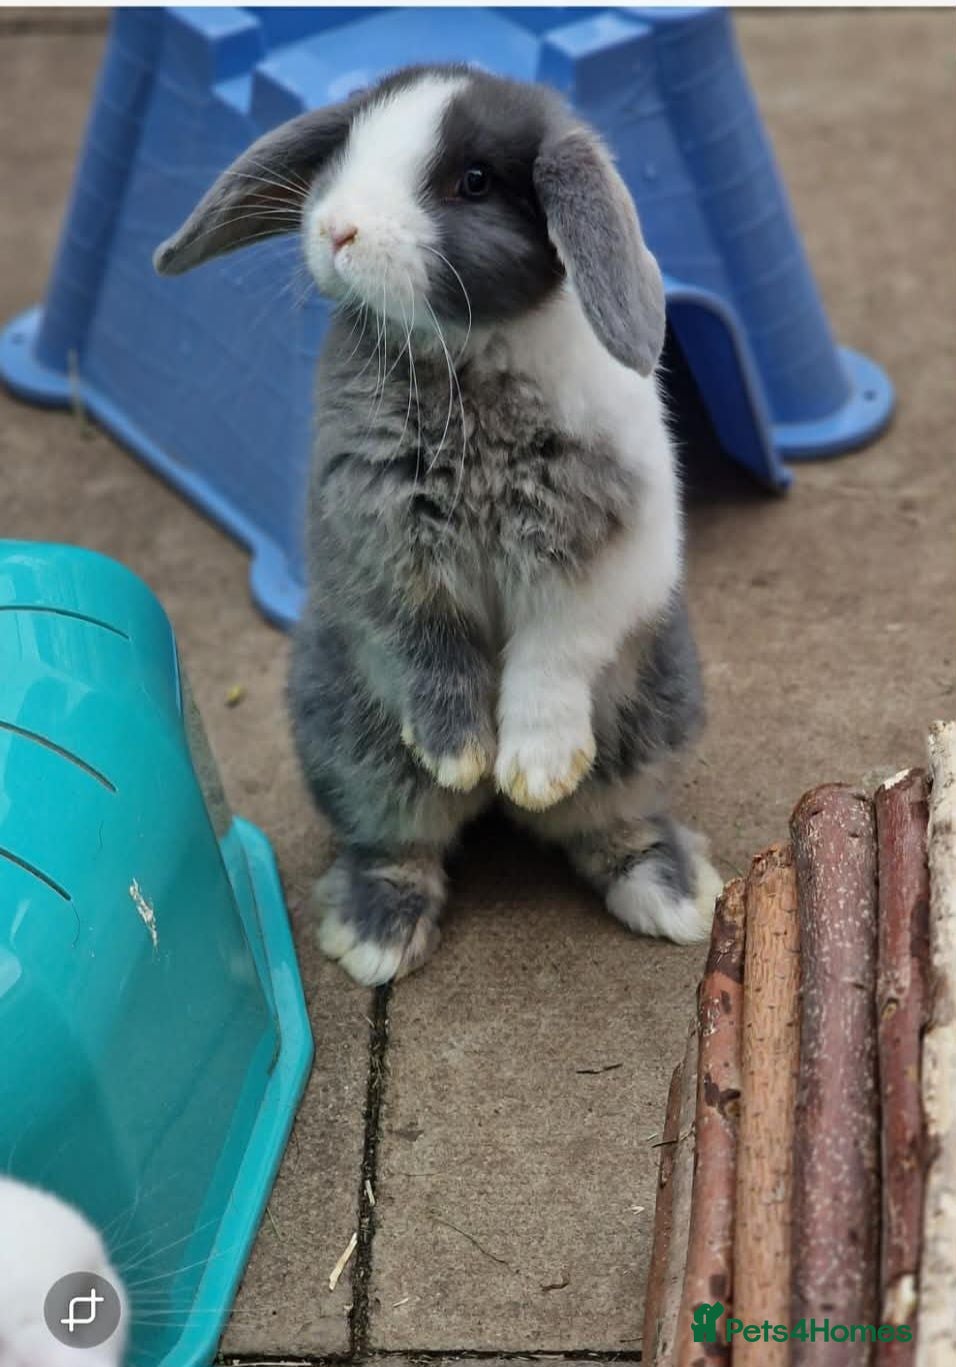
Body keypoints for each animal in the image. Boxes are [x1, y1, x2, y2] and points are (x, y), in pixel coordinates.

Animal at [155, 64, 723, 986]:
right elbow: (426, 650)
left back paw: (672, 896)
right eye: (347, 143)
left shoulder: (598, 562)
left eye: (476, 182)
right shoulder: (385, 553)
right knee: (400, 840)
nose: (336, 227)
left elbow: (552, 657)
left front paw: (530, 766)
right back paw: (376, 935)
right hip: (350, 742)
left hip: (653, 715)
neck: (468, 355)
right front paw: (462, 753)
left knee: (608, 821)